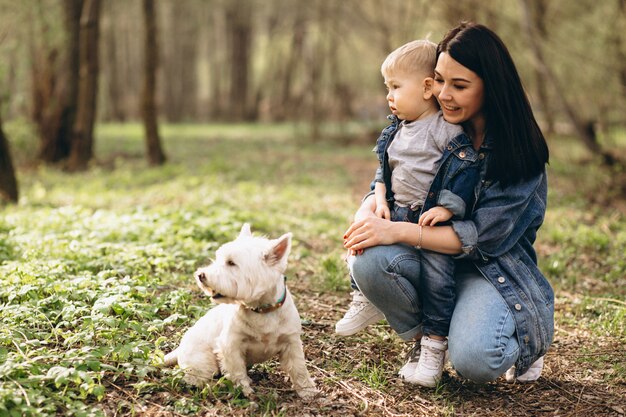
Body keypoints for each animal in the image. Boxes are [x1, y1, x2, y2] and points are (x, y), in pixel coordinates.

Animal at [163, 223, 316, 398]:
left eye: (231, 263)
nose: (201, 275)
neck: (261, 310)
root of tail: (179, 349)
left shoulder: (291, 341)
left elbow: (299, 367)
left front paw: (307, 391)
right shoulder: (230, 344)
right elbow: (236, 370)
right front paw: (244, 390)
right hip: (202, 361)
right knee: (197, 379)